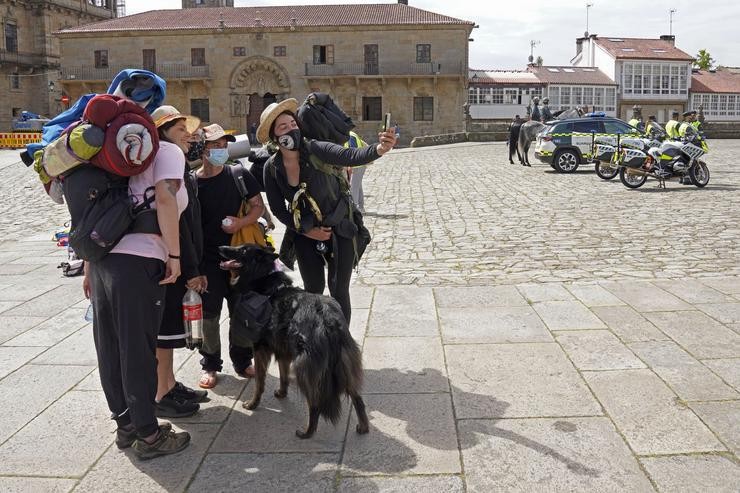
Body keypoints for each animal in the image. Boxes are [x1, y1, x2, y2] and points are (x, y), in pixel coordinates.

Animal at [220, 243, 370, 438]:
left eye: (243, 250)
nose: (220, 247)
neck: (262, 278)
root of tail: (328, 322)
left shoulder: (259, 348)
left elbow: (259, 382)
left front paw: (253, 404)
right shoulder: (284, 351)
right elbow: (283, 375)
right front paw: (282, 393)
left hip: (304, 369)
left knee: (315, 405)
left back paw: (307, 432)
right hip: (344, 366)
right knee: (357, 398)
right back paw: (363, 427)